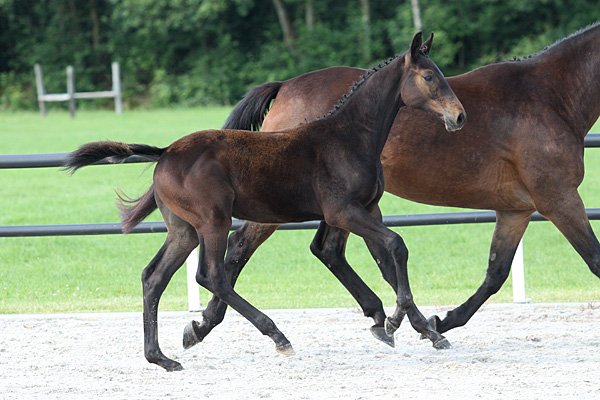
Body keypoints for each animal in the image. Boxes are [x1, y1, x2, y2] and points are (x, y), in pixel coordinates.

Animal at [63, 32, 466, 371]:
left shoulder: (360, 209)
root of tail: (165, 153)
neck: (349, 136)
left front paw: (404, 325)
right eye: (429, 77)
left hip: (183, 230)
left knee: (154, 277)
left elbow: (372, 256)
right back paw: (277, 336)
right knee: (212, 274)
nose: (459, 116)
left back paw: (161, 358)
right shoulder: (343, 211)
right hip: (213, 221)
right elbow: (395, 245)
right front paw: (395, 320)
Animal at [215, 22, 600, 342]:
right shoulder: (558, 199)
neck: (552, 96)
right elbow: (595, 259)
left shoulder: (516, 209)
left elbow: (496, 272)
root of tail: (285, 86)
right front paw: (434, 323)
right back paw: (217, 322)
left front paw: (442, 320)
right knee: (239, 247)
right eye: (429, 77)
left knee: (328, 250)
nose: (458, 117)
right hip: (284, 204)